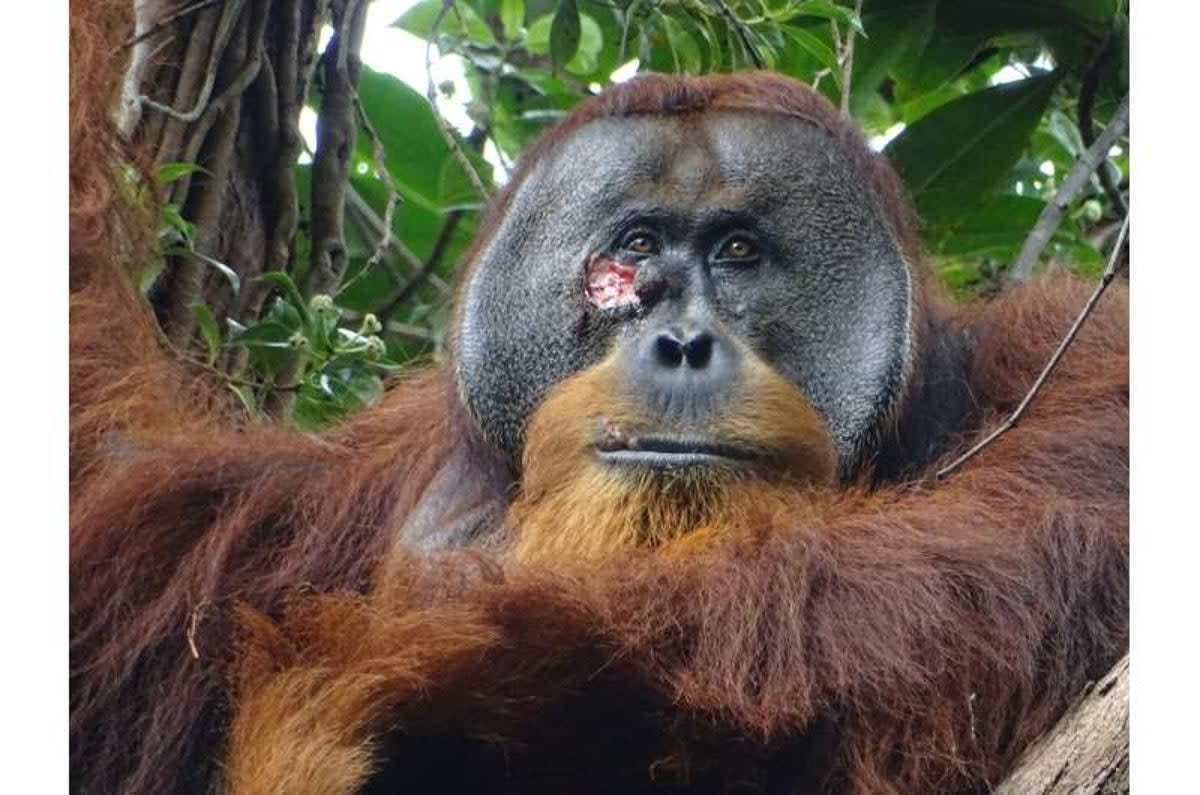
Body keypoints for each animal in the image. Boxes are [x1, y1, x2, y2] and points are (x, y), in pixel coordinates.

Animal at [70, 8, 1127, 790]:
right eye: (637, 247)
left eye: (737, 250)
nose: (683, 343)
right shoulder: (296, 504)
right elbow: (112, 476)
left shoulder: (1071, 357)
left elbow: (1004, 551)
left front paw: (402, 680)